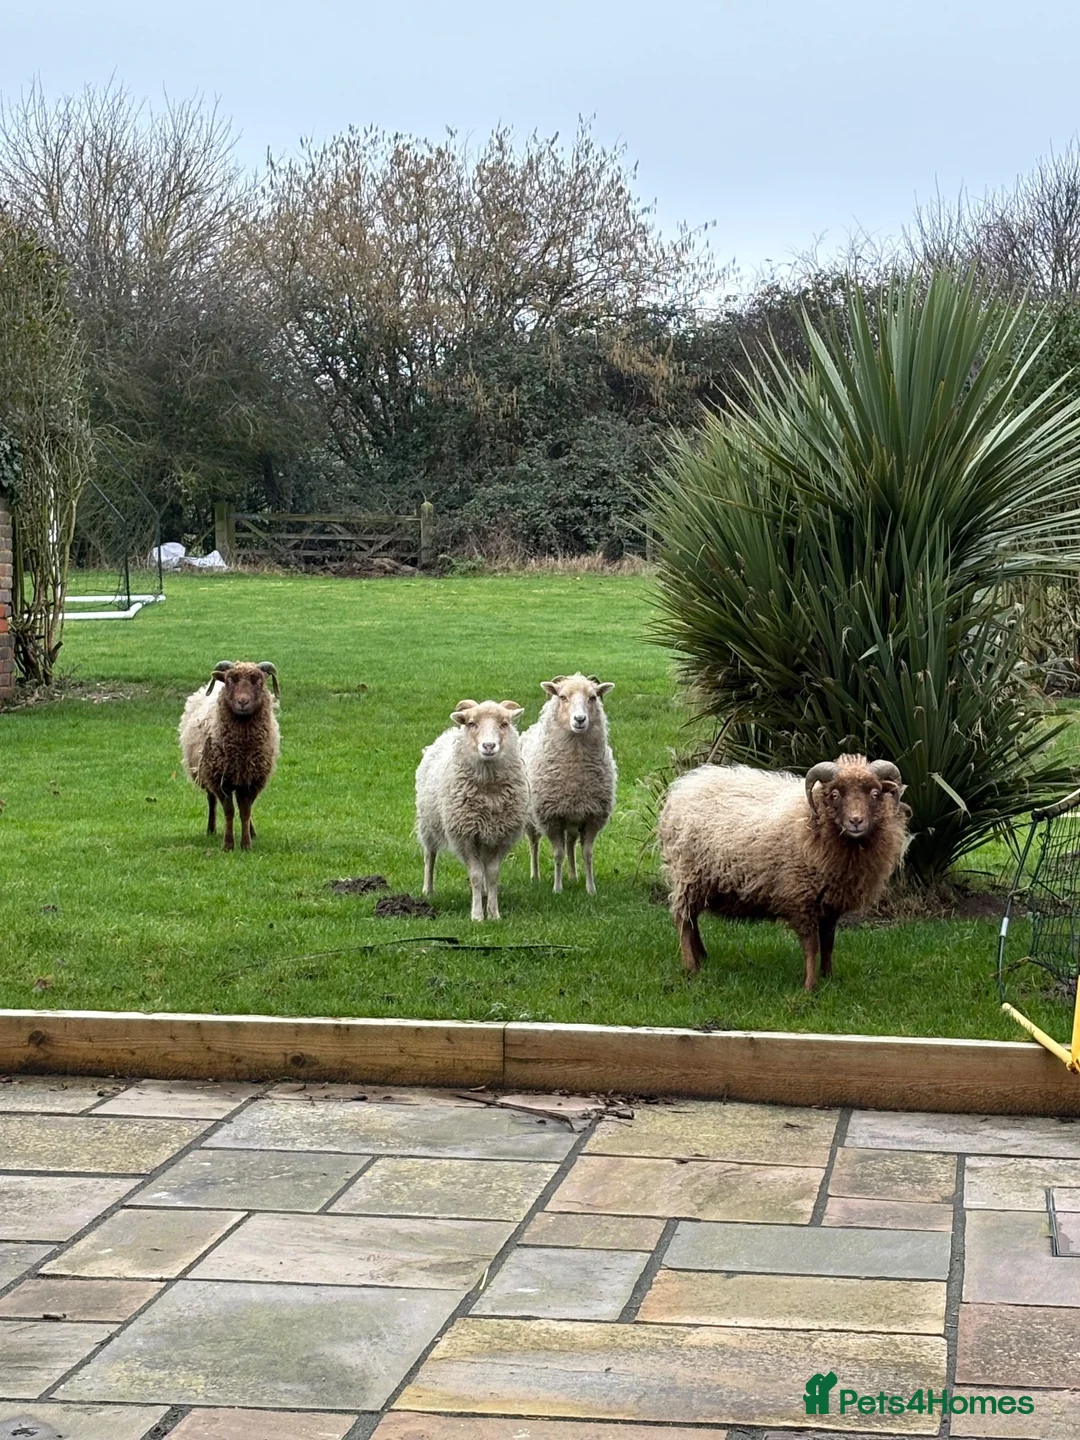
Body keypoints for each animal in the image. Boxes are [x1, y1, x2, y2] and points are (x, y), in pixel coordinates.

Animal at [179, 660, 280, 851]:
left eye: (259, 681)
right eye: (230, 681)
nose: (242, 702)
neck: (241, 752)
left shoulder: (253, 780)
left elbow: (245, 811)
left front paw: (246, 844)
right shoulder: (220, 779)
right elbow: (229, 811)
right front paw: (228, 844)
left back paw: (252, 832)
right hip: (207, 771)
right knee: (211, 800)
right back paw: (211, 829)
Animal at [416, 698, 528, 920]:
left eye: (504, 723)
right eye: (472, 723)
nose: (489, 745)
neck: (489, 792)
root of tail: (449, 732)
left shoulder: (499, 836)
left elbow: (492, 874)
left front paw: (493, 913)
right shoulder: (465, 836)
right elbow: (475, 875)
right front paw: (477, 915)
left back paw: (484, 893)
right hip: (428, 823)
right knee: (429, 856)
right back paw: (428, 889)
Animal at [521, 673, 616, 894]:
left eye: (593, 697)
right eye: (562, 697)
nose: (580, 719)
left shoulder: (592, 817)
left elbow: (587, 854)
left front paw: (591, 889)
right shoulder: (551, 818)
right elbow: (557, 854)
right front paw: (557, 889)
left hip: (573, 818)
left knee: (571, 843)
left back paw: (573, 875)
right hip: (531, 818)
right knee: (534, 844)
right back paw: (535, 875)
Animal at [657, 753, 910, 989]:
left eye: (875, 793)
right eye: (835, 794)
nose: (856, 821)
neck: (811, 820)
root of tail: (684, 786)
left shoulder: (830, 902)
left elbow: (828, 943)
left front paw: (828, 977)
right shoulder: (801, 897)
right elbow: (811, 946)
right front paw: (810, 986)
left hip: (703, 880)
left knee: (692, 919)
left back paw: (703, 958)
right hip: (689, 874)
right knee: (683, 920)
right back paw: (692, 967)